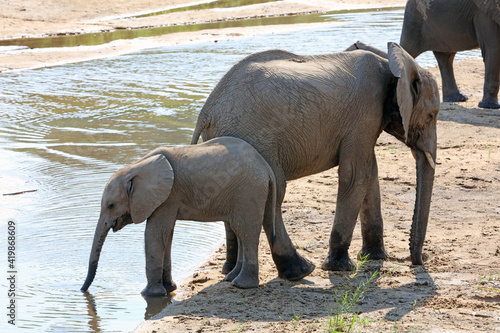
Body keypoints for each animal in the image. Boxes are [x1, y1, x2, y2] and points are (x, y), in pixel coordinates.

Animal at [80, 137, 280, 296]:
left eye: (111, 205)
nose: (82, 290)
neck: (136, 167)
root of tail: (267, 168)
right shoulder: (167, 199)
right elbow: (167, 235)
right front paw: (169, 289)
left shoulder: (168, 196)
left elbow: (155, 234)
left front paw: (150, 294)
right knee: (241, 232)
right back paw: (231, 278)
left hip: (248, 192)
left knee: (246, 232)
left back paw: (242, 285)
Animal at [189, 42, 440, 274]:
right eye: (431, 115)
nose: (418, 262)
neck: (391, 63)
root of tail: (206, 113)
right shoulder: (365, 113)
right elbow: (355, 174)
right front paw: (340, 267)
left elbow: (370, 173)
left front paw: (374, 257)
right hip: (255, 138)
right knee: (273, 192)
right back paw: (298, 271)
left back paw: (230, 270)